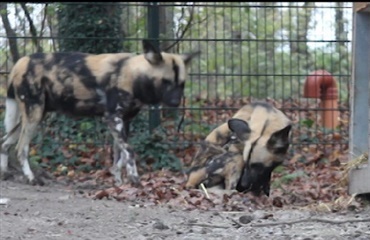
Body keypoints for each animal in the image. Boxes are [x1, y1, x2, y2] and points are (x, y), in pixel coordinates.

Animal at [0, 40, 201, 185]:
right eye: (165, 82)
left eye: (181, 84)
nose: (175, 103)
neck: (132, 76)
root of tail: (20, 62)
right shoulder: (113, 119)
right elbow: (129, 151)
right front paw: (134, 179)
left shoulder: (124, 122)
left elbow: (120, 155)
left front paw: (119, 181)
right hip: (33, 114)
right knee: (21, 148)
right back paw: (31, 178)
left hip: (37, 115)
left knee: (4, 142)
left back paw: (4, 173)